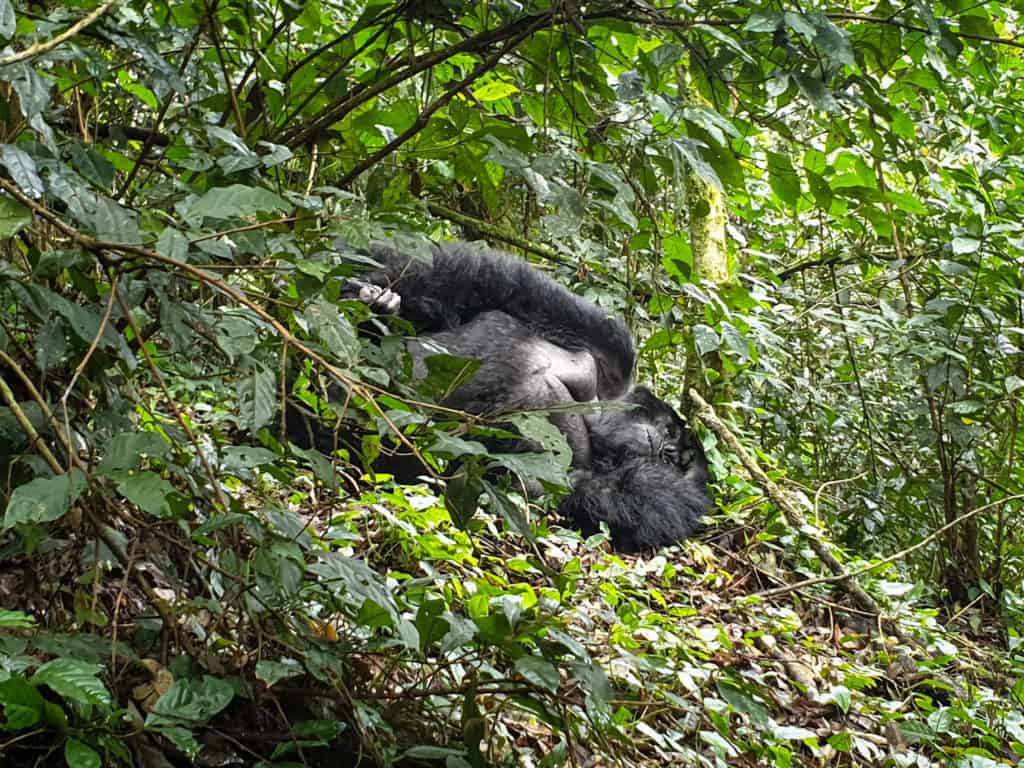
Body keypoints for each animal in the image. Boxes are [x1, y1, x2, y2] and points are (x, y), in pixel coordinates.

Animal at [296, 241, 712, 552]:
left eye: (674, 458)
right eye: (669, 433)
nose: (669, 452)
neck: (595, 405)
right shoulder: (609, 341)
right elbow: (475, 281)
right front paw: (358, 283)